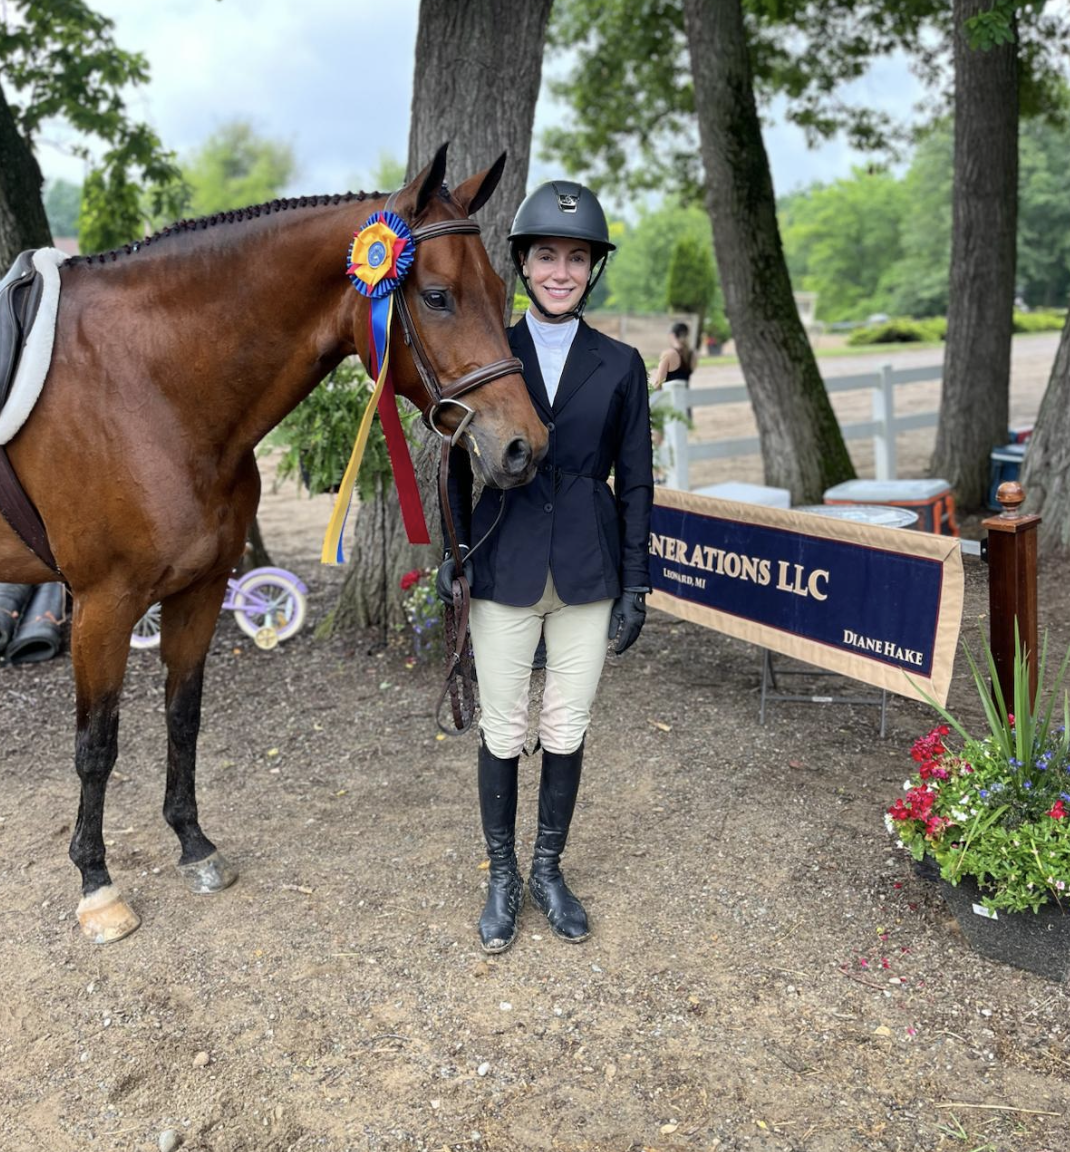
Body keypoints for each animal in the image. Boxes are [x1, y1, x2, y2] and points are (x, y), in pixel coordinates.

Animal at [0, 144, 548, 944]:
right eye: (438, 296)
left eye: (502, 288)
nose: (522, 447)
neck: (143, 383)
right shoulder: (103, 606)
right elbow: (96, 746)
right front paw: (97, 886)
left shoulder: (199, 591)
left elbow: (183, 717)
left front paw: (194, 845)